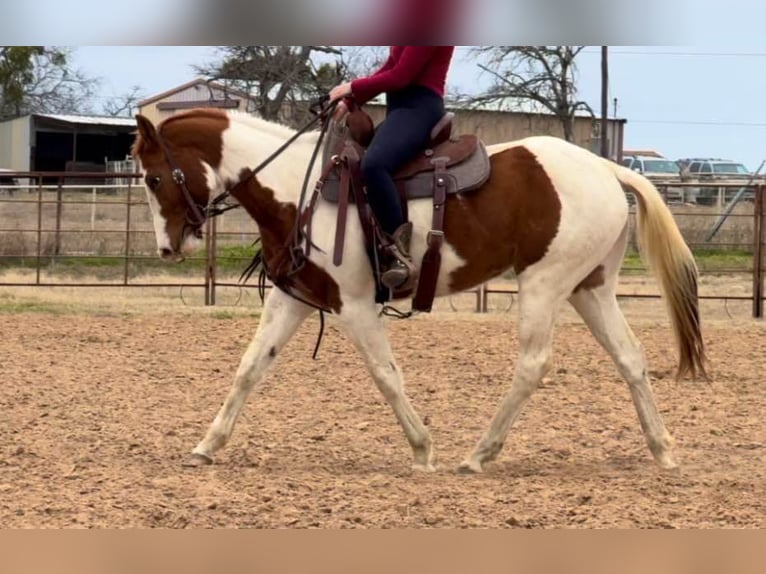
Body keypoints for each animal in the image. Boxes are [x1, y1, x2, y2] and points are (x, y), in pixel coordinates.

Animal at [130, 106, 708, 474]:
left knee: (533, 364)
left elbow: (386, 375)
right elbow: (251, 368)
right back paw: (662, 448)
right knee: (630, 357)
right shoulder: (294, 298)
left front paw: (423, 449)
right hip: (590, 288)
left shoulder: (354, 306)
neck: (302, 188)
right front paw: (207, 445)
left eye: (153, 178)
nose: (167, 247)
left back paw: (478, 454)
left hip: (544, 284)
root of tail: (607, 168)